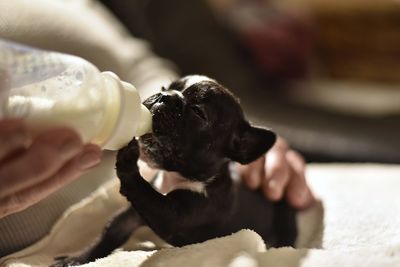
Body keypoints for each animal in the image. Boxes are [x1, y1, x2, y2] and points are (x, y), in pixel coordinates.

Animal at [54, 76, 296, 267]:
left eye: (198, 112)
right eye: (166, 86)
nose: (165, 96)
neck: (174, 176)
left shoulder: (173, 215)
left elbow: (141, 190)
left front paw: (128, 159)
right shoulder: (133, 215)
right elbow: (110, 232)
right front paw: (78, 258)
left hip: (285, 216)